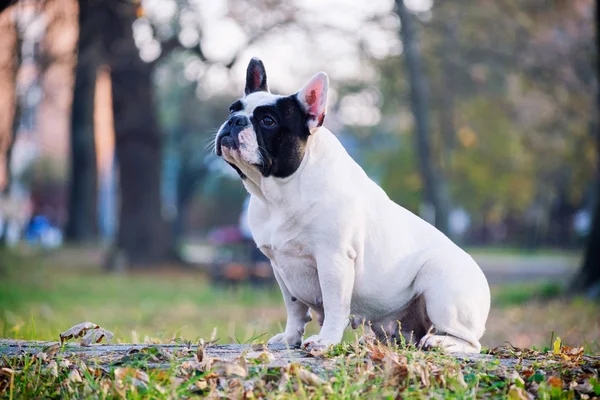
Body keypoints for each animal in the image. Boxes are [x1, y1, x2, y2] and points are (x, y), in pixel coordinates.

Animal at [217, 57, 492, 354]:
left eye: (268, 121)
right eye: (232, 109)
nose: (234, 121)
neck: (279, 193)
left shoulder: (333, 259)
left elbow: (335, 304)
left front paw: (325, 341)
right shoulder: (280, 267)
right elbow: (294, 309)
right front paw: (290, 339)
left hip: (439, 284)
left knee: (470, 342)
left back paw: (441, 341)